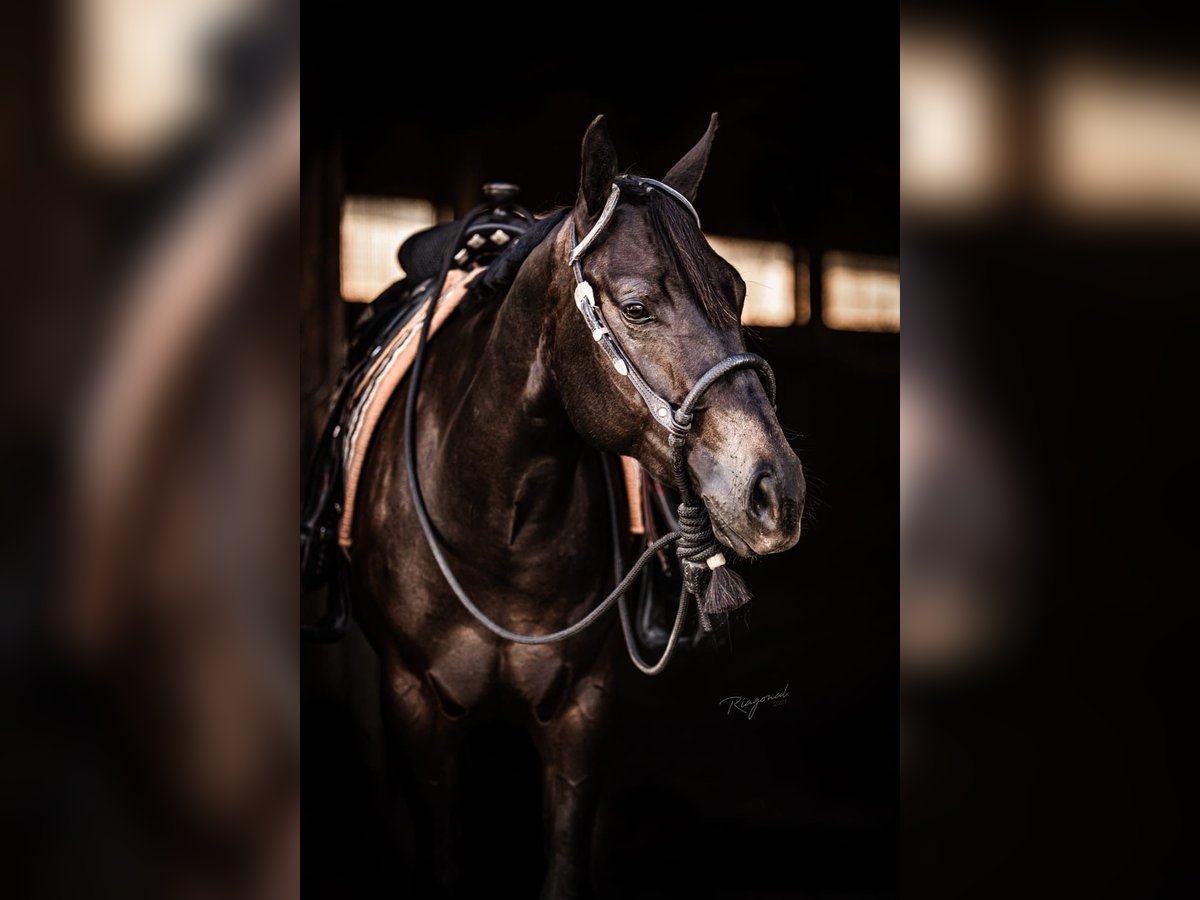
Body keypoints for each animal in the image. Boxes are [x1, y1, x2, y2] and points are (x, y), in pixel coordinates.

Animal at [350, 114, 806, 898]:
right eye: (637, 307)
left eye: (740, 289)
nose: (775, 489)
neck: (499, 525)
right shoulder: (416, 708)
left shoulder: (580, 713)